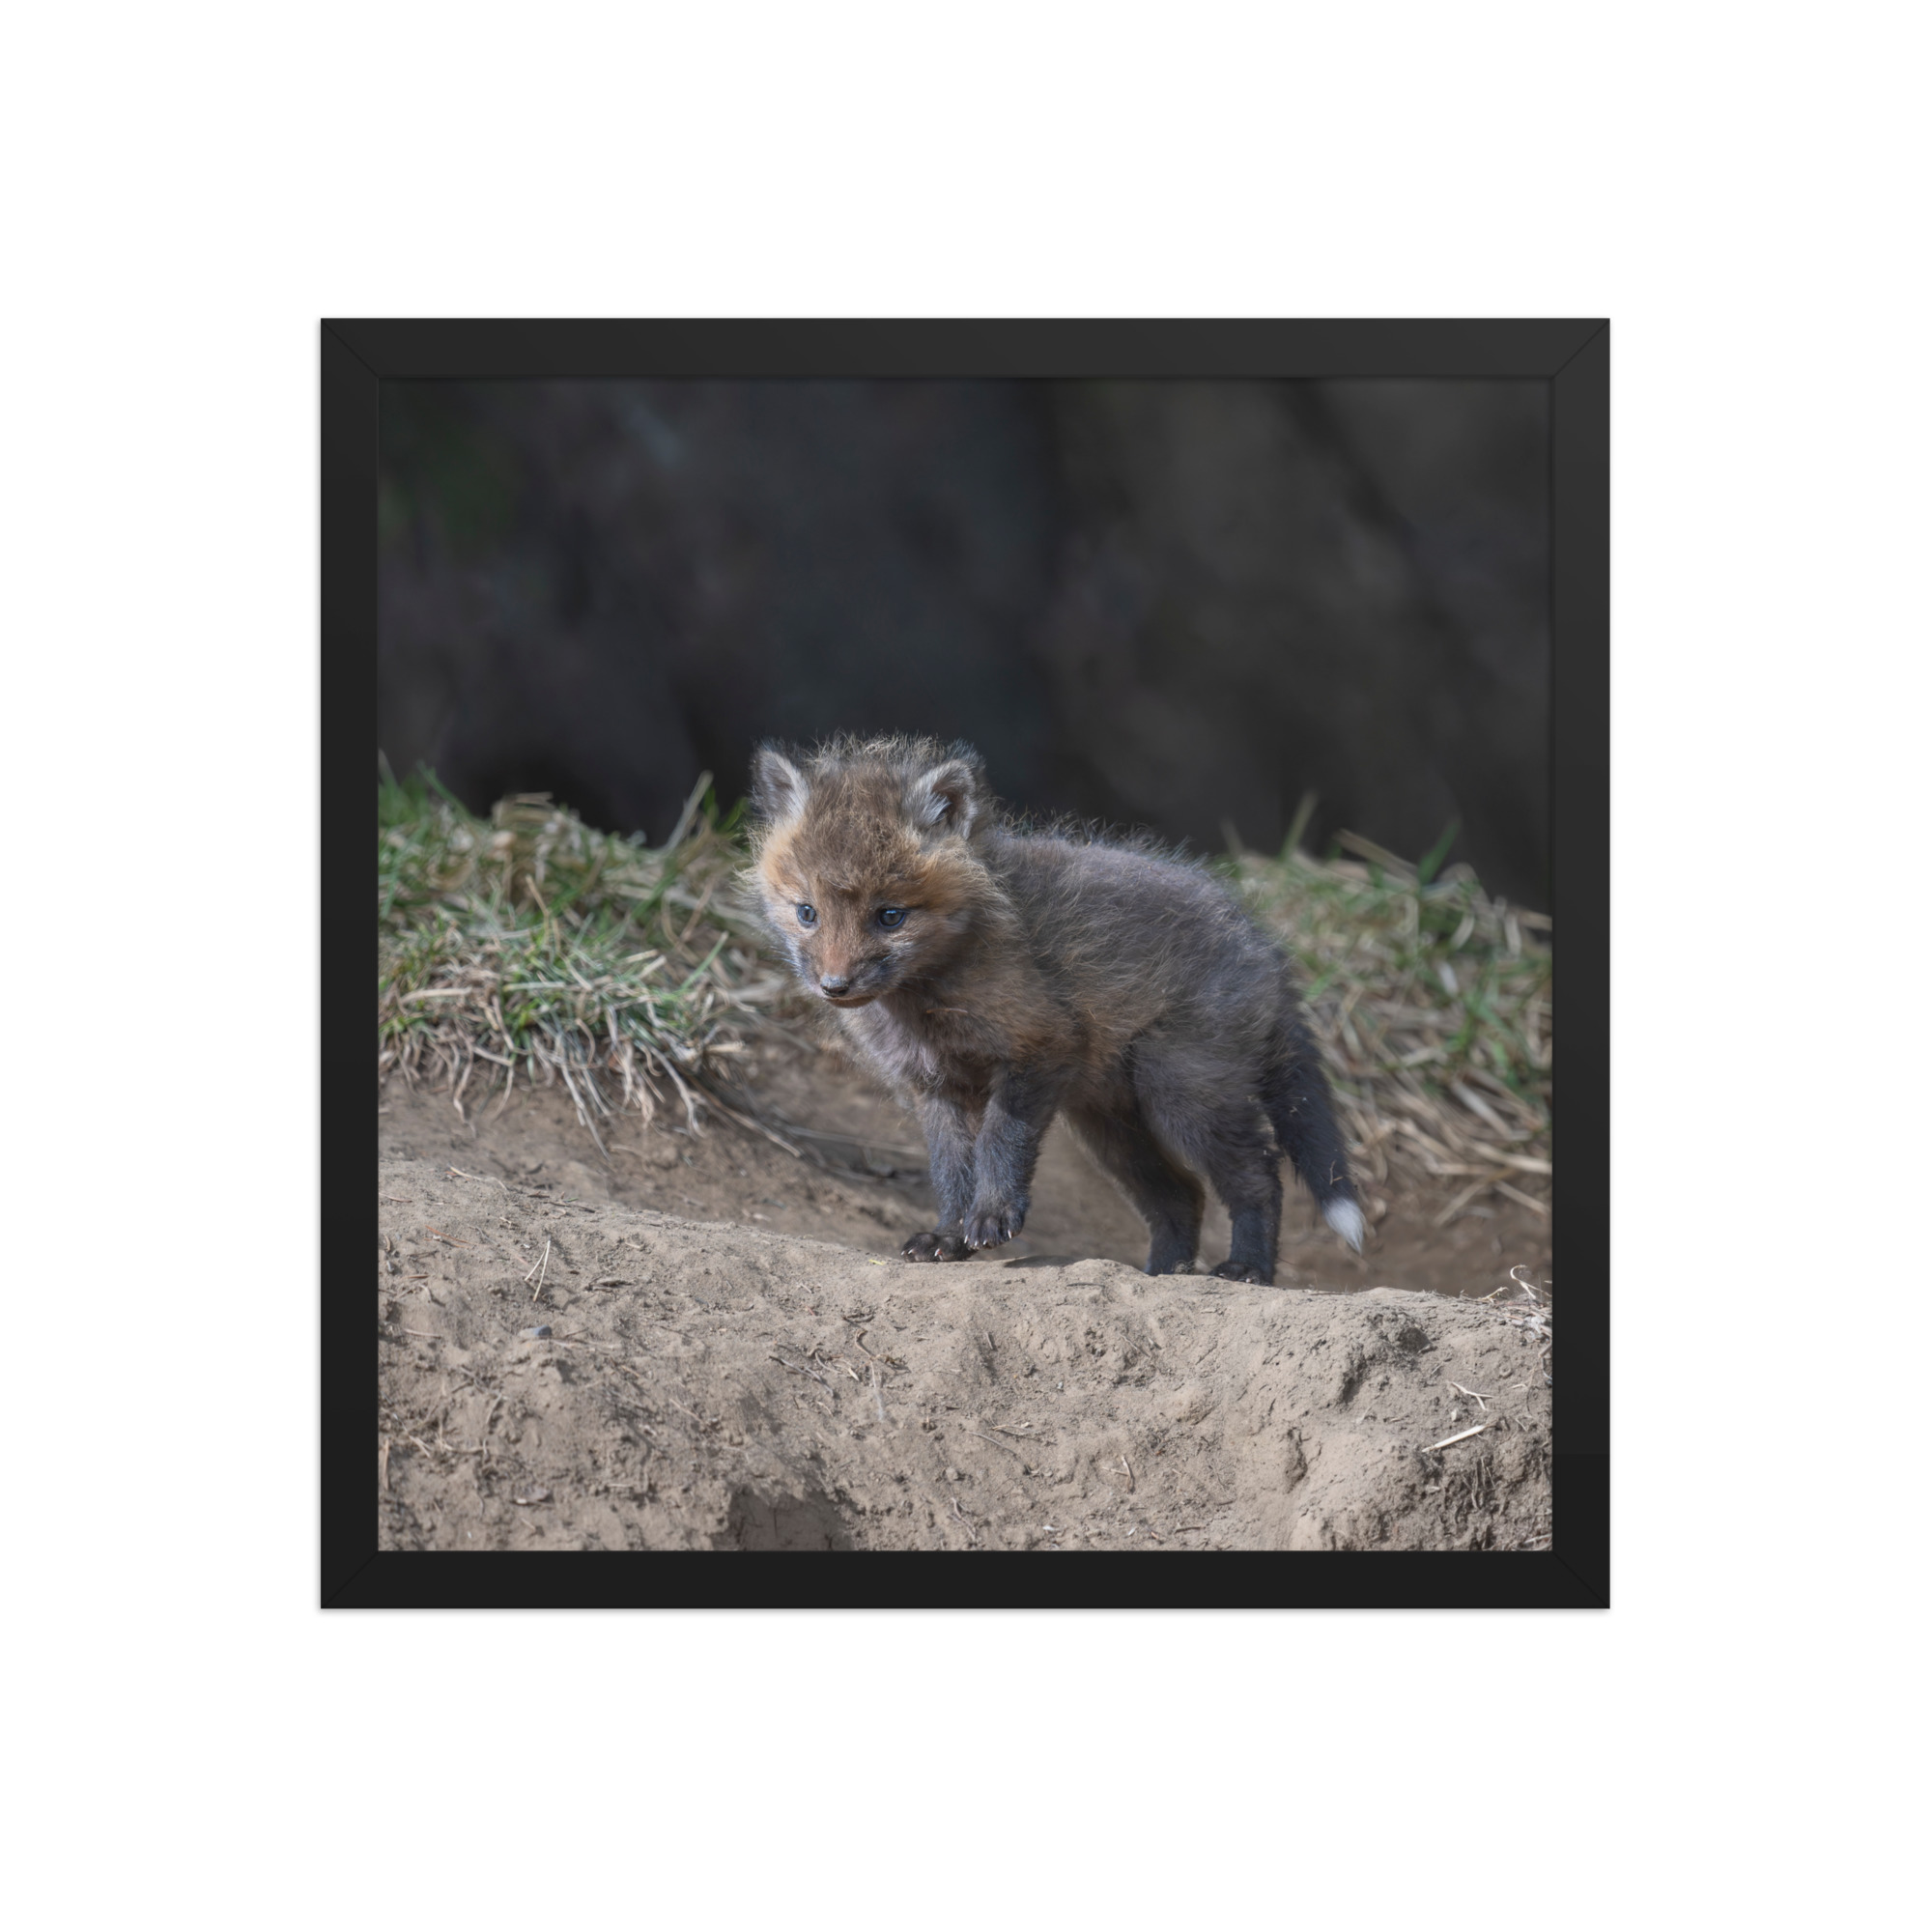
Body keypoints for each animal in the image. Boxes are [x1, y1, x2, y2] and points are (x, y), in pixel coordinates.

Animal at [747, 735, 1364, 1284]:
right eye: (807, 912)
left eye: (890, 916)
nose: (834, 986)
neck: (927, 1003)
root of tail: (1264, 946)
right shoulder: (935, 1087)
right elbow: (951, 1171)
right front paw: (948, 1236)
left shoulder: (1040, 1047)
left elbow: (1000, 1142)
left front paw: (992, 1217)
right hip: (1111, 1126)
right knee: (1181, 1196)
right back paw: (1163, 1274)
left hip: (1182, 1094)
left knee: (1259, 1176)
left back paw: (1248, 1269)